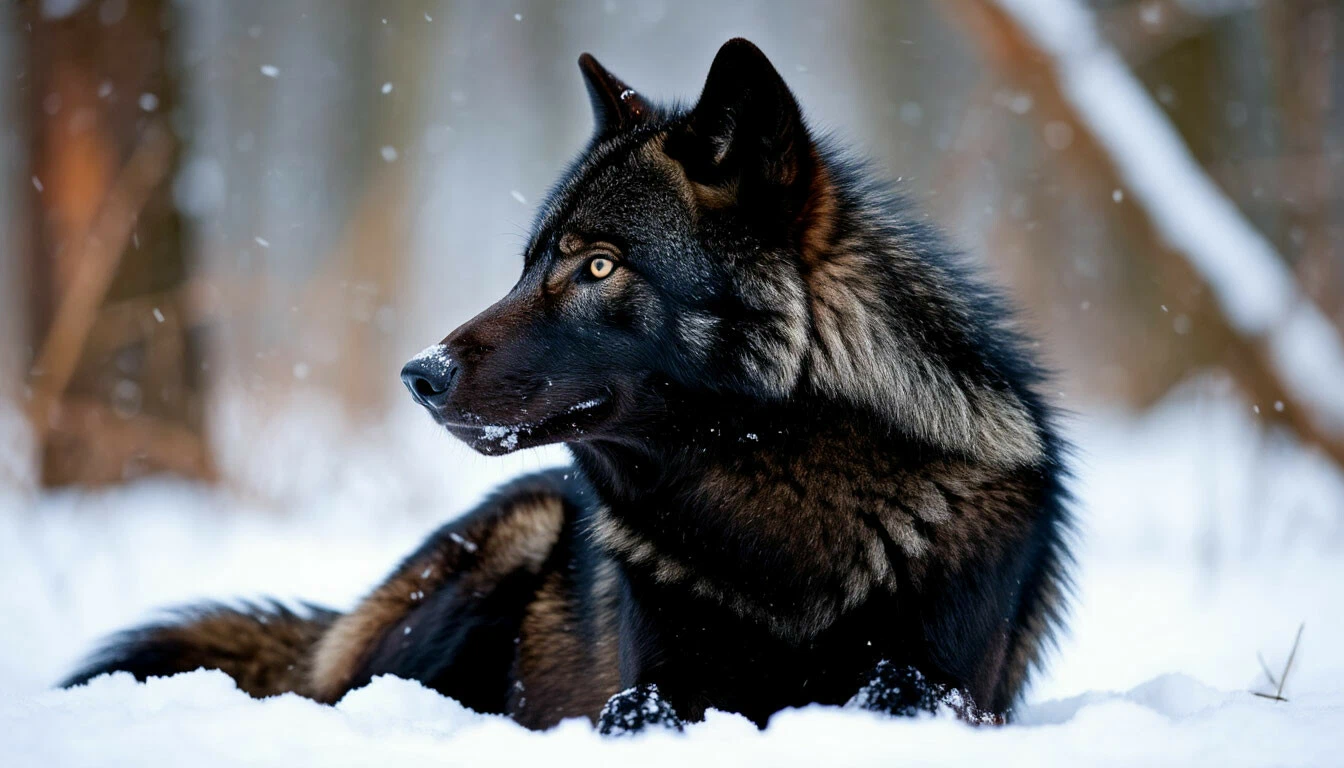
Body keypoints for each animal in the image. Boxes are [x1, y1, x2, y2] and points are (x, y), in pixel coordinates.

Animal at [64, 39, 1072, 732]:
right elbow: (640, 707)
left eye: (596, 265)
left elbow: (899, 685)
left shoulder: (950, 681)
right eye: (525, 266)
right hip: (493, 554)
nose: (419, 375)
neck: (774, 507)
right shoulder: (655, 675)